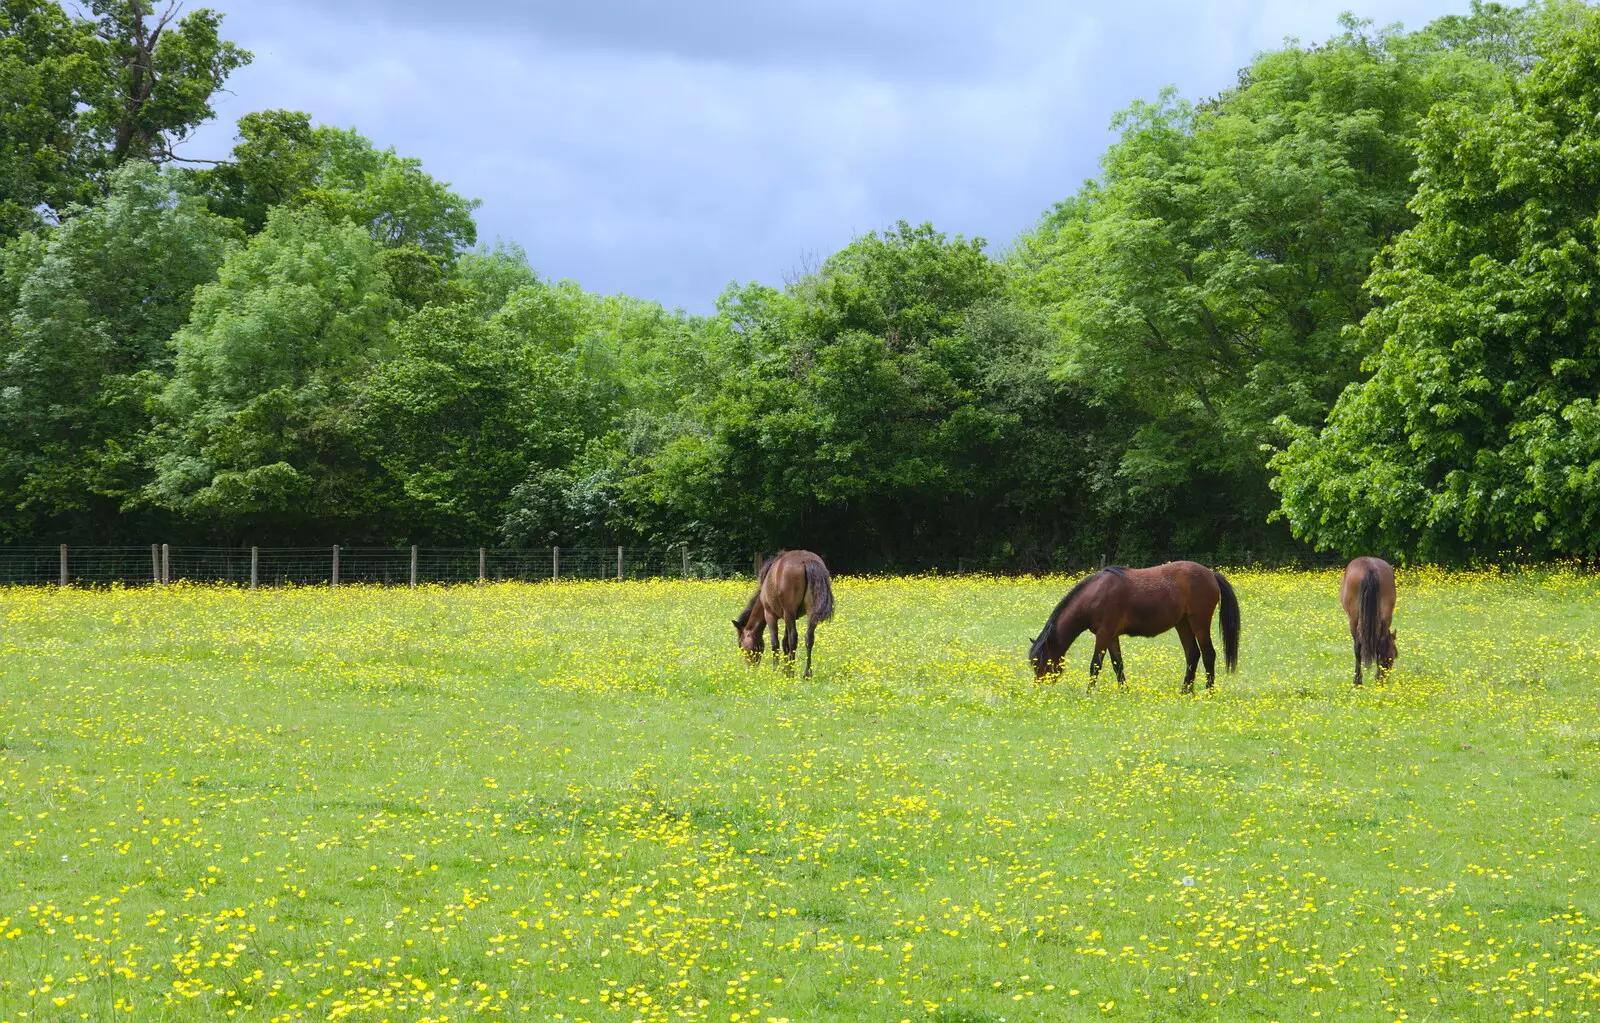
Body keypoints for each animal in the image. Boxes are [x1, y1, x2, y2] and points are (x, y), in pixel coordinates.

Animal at [732, 550, 838, 678]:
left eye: (740, 645)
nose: (751, 669)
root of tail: (807, 560)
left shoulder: (770, 615)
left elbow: (775, 643)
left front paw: (776, 669)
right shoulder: (790, 617)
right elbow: (784, 642)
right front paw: (785, 668)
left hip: (789, 612)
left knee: (793, 638)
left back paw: (792, 673)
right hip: (810, 612)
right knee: (809, 638)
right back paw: (807, 674)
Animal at [1030, 560, 1241, 698]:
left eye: (1040, 662)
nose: (1038, 690)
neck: (1095, 595)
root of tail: (1211, 574)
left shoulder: (1103, 634)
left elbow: (1095, 665)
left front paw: (1088, 693)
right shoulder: (1111, 636)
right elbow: (1118, 665)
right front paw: (1124, 691)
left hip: (1199, 623)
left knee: (1208, 654)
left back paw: (1209, 693)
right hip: (1183, 624)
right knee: (1192, 654)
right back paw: (1185, 691)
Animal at [1337, 557, 1401, 685]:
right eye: (1393, 655)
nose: (1386, 677)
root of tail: (1370, 568)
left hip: (1354, 619)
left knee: (1357, 647)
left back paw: (1358, 682)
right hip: (1386, 616)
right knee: (1381, 644)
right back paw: (1378, 680)